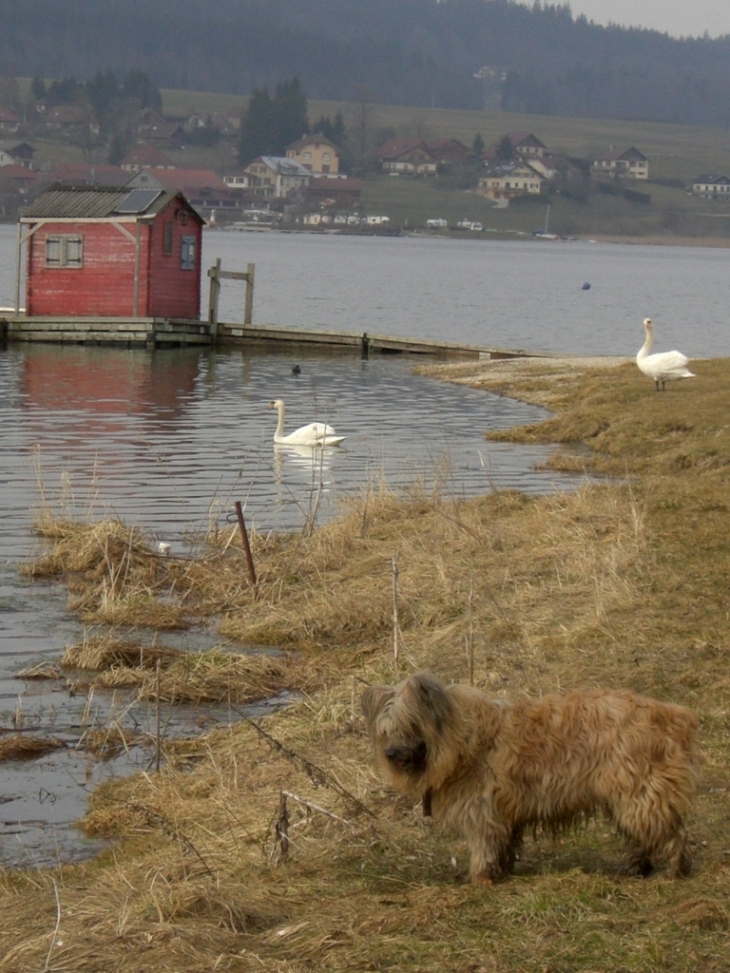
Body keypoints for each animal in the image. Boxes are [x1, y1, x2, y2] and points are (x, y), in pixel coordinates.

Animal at [362, 672, 696, 884]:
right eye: (385, 730)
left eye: (410, 724)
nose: (391, 753)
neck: (460, 739)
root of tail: (670, 715)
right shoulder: (503, 812)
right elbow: (504, 843)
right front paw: (502, 871)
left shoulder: (481, 808)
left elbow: (483, 844)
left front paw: (480, 878)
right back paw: (639, 866)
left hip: (639, 791)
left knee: (670, 832)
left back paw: (673, 870)